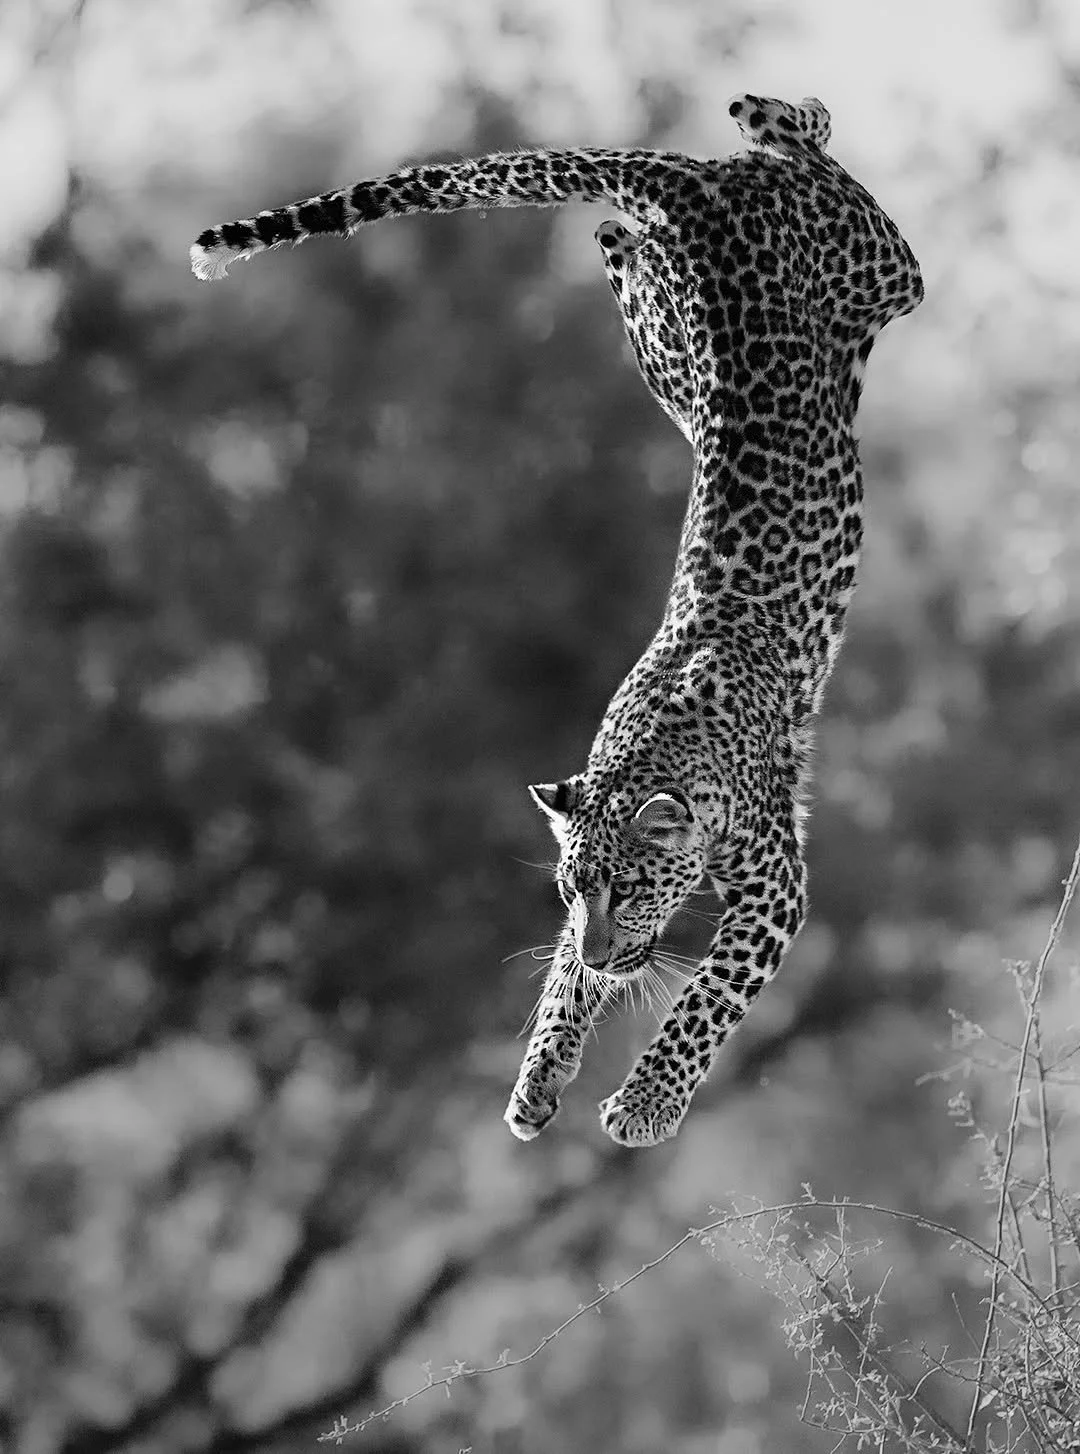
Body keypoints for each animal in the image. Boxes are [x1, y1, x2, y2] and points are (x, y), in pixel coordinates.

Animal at [191, 94, 923, 1147]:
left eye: (632, 887)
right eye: (574, 893)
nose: (607, 944)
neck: (661, 755)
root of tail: (694, 191)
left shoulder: (774, 889)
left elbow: (706, 997)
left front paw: (645, 1104)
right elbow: (566, 988)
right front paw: (541, 1074)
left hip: (874, 268)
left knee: (801, 154)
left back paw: (788, 117)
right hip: (672, 355)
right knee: (645, 225)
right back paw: (678, 186)